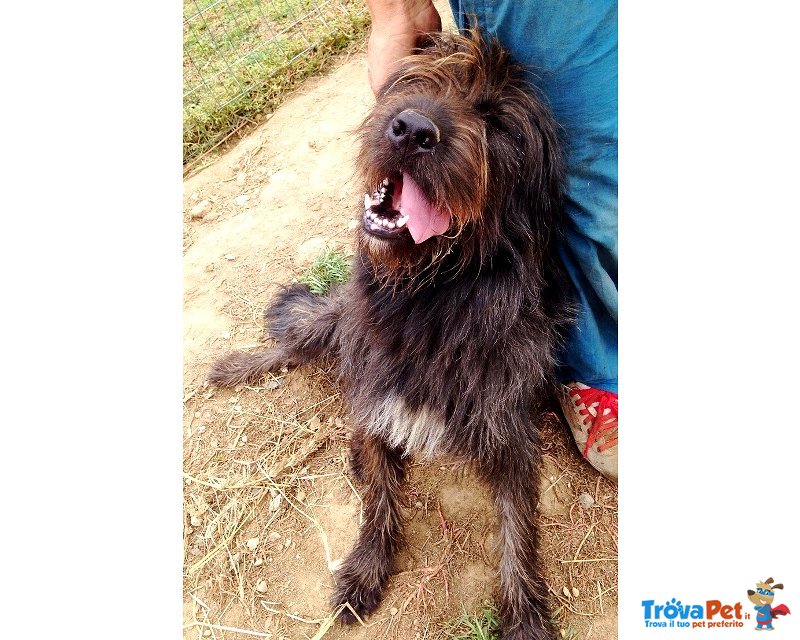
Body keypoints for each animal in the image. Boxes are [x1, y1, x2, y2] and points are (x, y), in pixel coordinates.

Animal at [212, 28, 572, 640]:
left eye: (497, 122)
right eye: (415, 79)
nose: (411, 128)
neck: (429, 303)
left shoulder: (509, 432)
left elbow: (518, 528)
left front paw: (525, 614)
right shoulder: (374, 400)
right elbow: (378, 490)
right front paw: (366, 566)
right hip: (338, 325)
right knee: (299, 338)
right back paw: (235, 365)